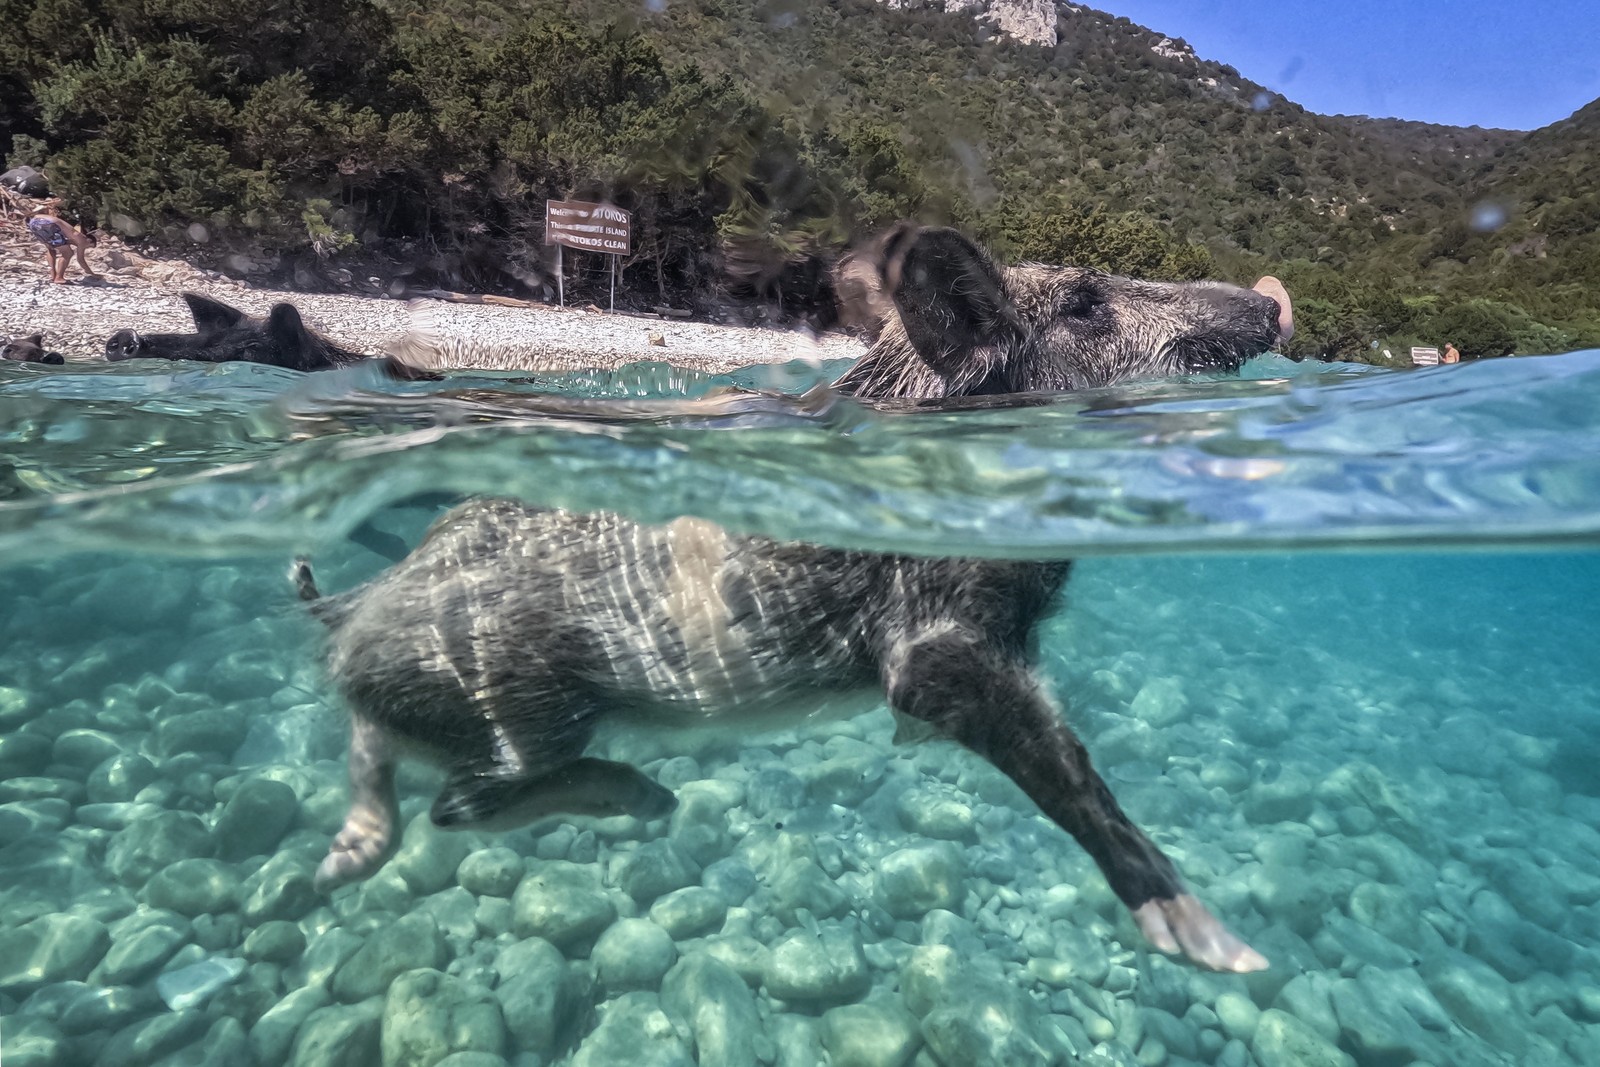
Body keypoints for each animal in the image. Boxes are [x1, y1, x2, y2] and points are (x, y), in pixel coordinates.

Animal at [295, 224, 1292, 972]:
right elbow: (1070, 768)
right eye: (1086, 303)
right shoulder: (934, 639)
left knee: (381, 766)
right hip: (535, 707)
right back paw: (644, 798)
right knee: (457, 804)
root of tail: (352, 614)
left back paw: (347, 855)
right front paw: (1224, 950)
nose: (1271, 302)